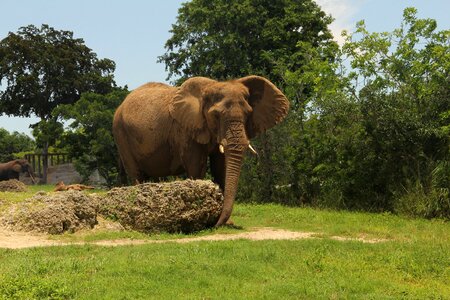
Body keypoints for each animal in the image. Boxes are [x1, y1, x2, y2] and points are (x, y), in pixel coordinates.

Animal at [112, 76, 288, 226]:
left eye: (248, 114)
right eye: (216, 115)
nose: (216, 225)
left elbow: (220, 167)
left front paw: (224, 221)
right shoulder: (186, 130)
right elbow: (196, 166)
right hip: (121, 134)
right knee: (136, 174)